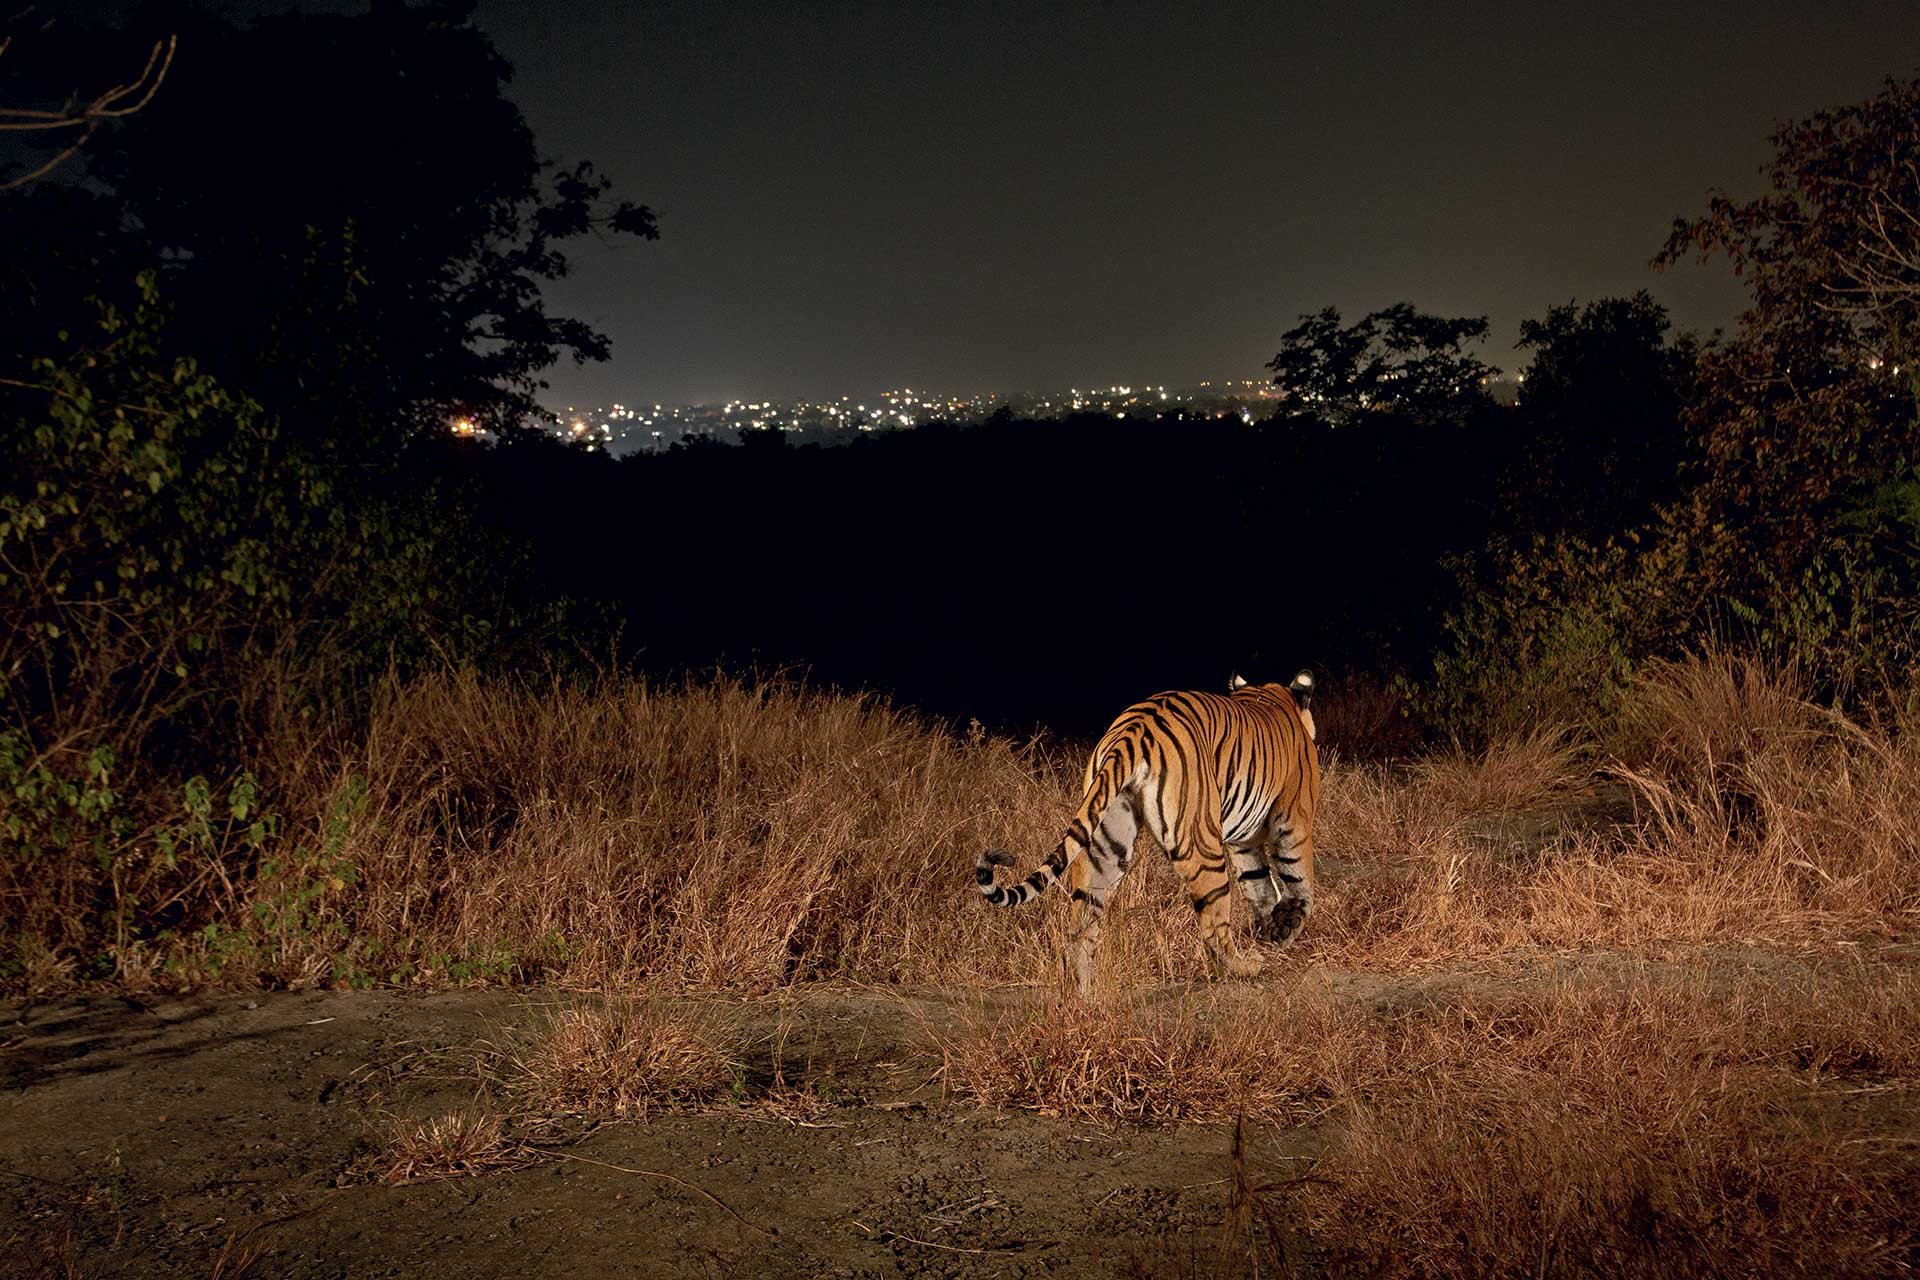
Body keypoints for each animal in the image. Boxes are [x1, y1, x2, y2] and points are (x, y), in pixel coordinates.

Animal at [975, 671, 1320, 994]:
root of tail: (1134, 729)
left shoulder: (1243, 840)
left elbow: (1258, 882)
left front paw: (1272, 927)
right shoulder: (1295, 817)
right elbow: (1297, 875)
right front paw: (1286, 925)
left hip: (1106, 840)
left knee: (1082, 921)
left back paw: (1083, 991)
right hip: (1200, 841)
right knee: (1213, 921)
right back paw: (1244, 966)